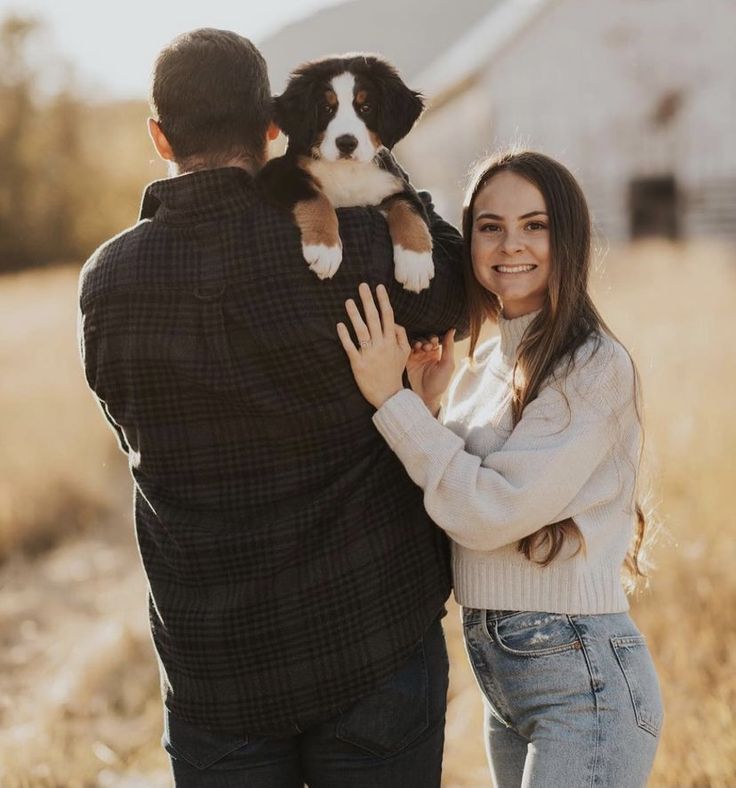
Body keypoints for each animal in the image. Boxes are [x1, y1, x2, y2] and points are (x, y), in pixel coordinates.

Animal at [258, 53, 434, 292]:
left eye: (366, 107)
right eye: (326, 108)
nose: (346, 143)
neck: (348, 171)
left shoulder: (396, 183)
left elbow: (408, 209)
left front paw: (415, 263)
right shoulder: (280, 174)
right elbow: (317, 198)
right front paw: (324, 248)